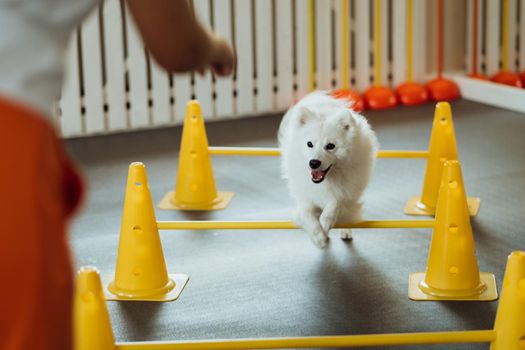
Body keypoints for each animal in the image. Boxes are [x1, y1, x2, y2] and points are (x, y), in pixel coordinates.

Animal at [278, 91, 376, 247]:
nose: (313, 163)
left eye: (330, 146)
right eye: (309, 144)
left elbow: (335, 203)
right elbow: (306, 215)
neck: (325, 181)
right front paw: (318, 236)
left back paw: (345, 231)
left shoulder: (344, 192)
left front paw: (325, 223)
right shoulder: (306, 199)